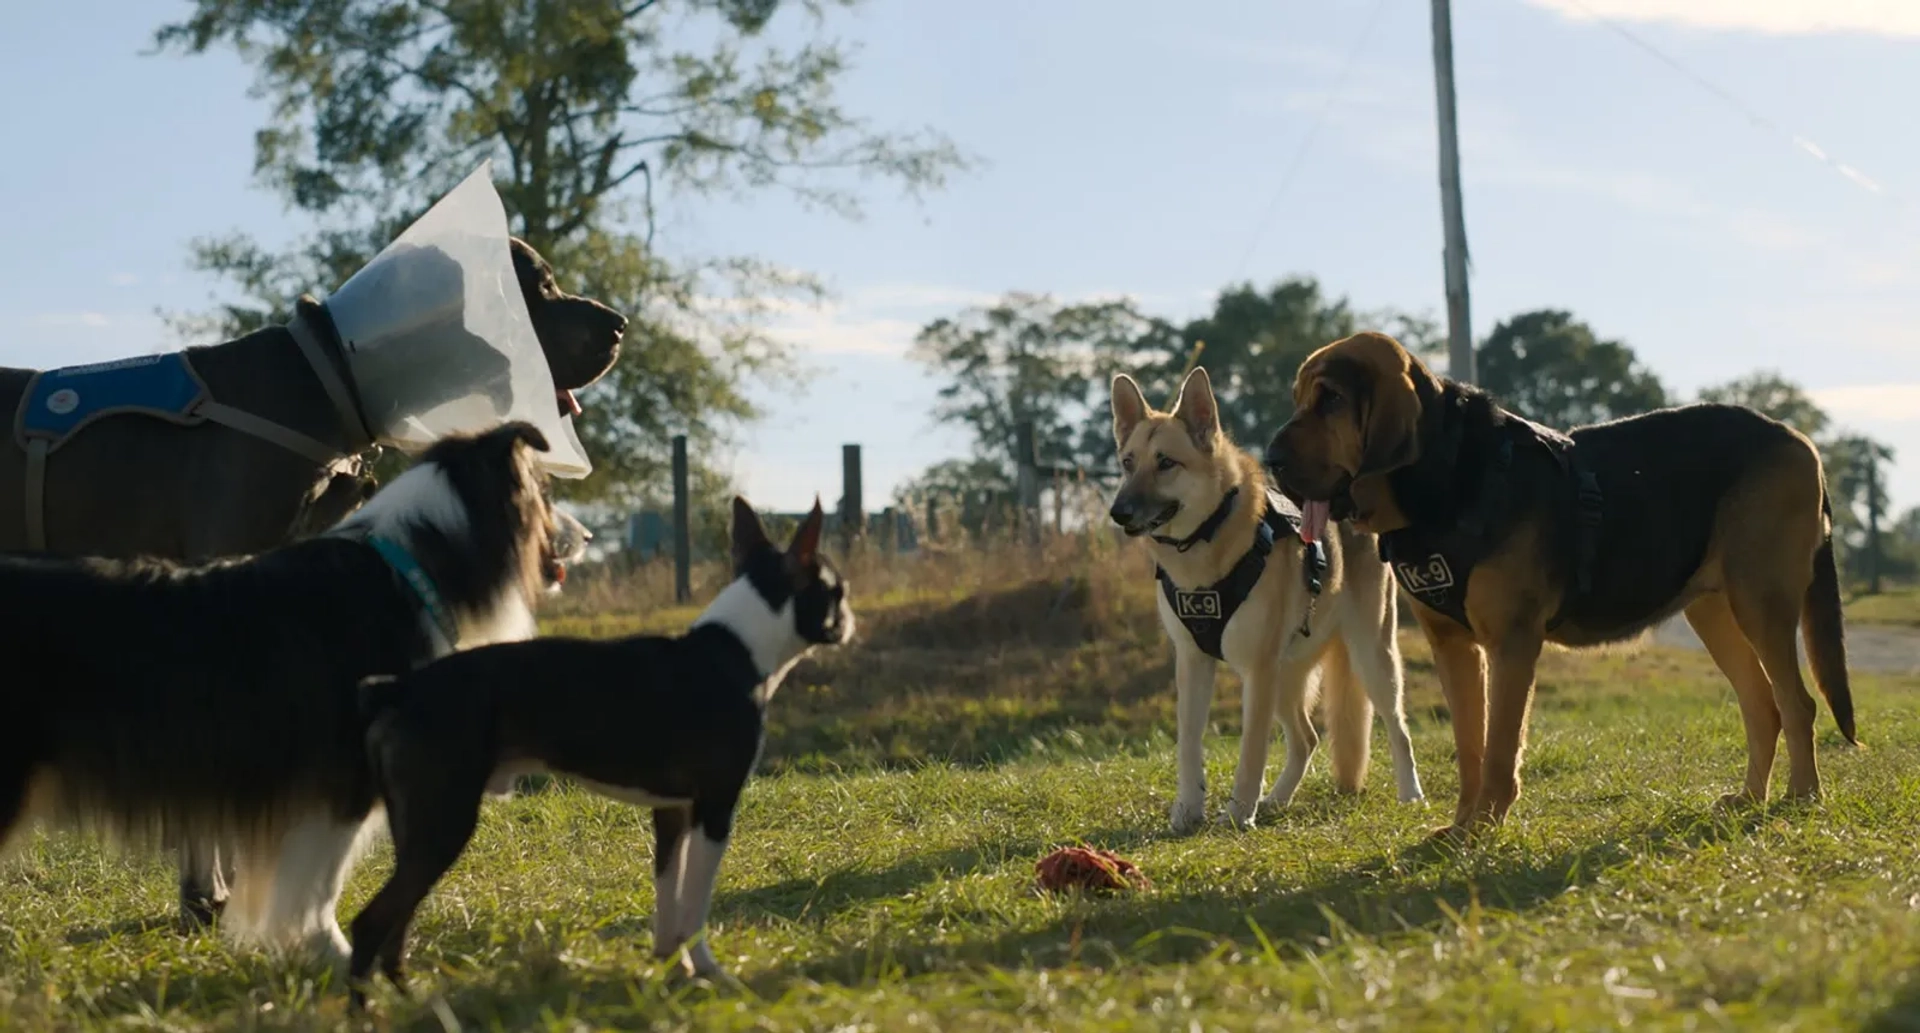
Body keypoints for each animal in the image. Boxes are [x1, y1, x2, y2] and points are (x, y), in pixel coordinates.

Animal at [1113, 362, 1428, 829]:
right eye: (1128, 463)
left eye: (1166, 463)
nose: (1117, 512)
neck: (1208, 541)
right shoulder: (1193, 662)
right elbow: (1188, 743)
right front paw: (1188, 810)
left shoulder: (1257, 671)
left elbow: (1251, 750)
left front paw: (1237, 815)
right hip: (1285, 675)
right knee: (1306, 738)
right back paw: (1277, 800)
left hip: (1371, 658)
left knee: (1397, 728)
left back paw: (1411, 795)